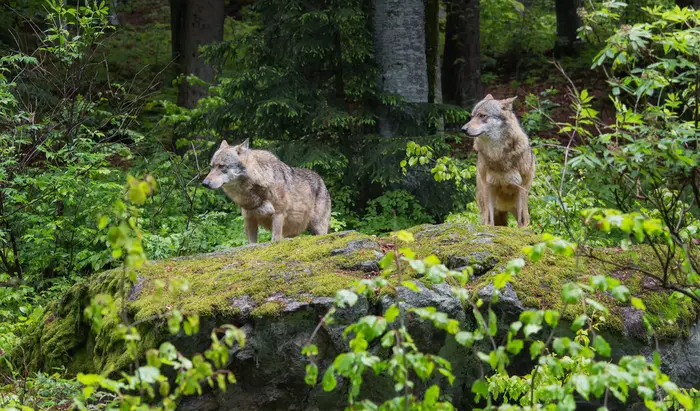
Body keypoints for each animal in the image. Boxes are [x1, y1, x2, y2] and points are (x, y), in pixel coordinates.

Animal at [202, 140, 334, 243]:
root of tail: (321, 179)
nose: (205, 183)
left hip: (318, 227)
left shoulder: (278, 214)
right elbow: (251, 244)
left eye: (221, 166)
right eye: (211, 167)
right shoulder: (249, 219)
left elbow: (274, 240)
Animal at [460, 94, 536, 229]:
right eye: (472, 116)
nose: (463, 129)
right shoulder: (489, 187)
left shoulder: (521, 188)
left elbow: (521, 222)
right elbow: (490, 222)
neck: (498, 155)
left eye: (482, 115)